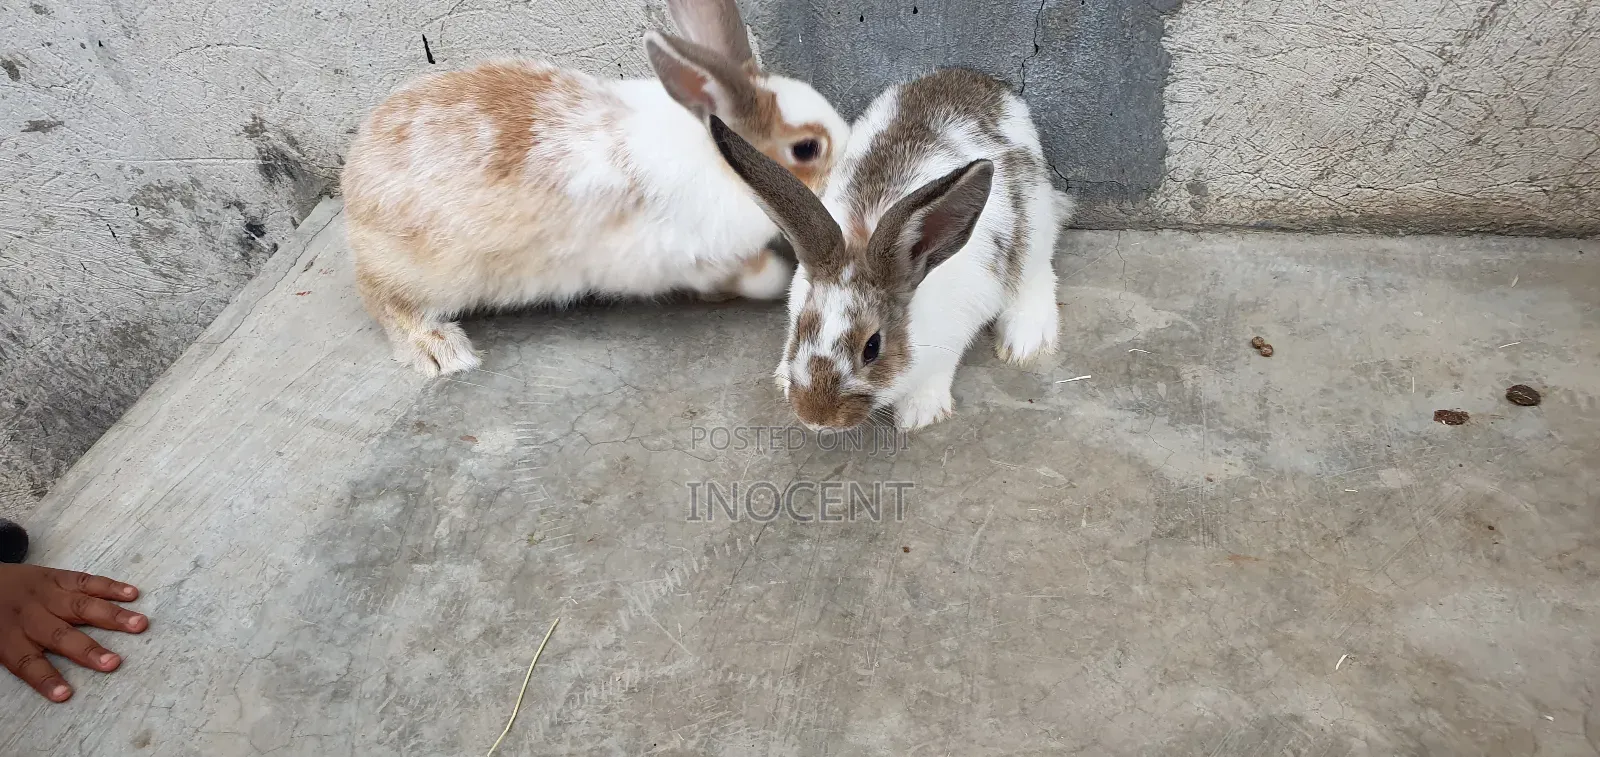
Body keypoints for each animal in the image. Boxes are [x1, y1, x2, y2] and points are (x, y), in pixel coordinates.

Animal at [340, 0, 849, 375]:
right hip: (430, 271)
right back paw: (440, 350)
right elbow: (759, 278)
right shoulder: (684, 256)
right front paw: (750, 283)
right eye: (807, 148)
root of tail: (354, 181)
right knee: (381, 298)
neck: (723, 162)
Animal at [708, 68, 1073, 431]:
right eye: (800, 329)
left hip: (1035, 232)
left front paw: (919, 413)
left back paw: (1026, 339)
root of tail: (986, 81)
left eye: (872, 347)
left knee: (1040, 274)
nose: (816, 419)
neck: (865, 240)